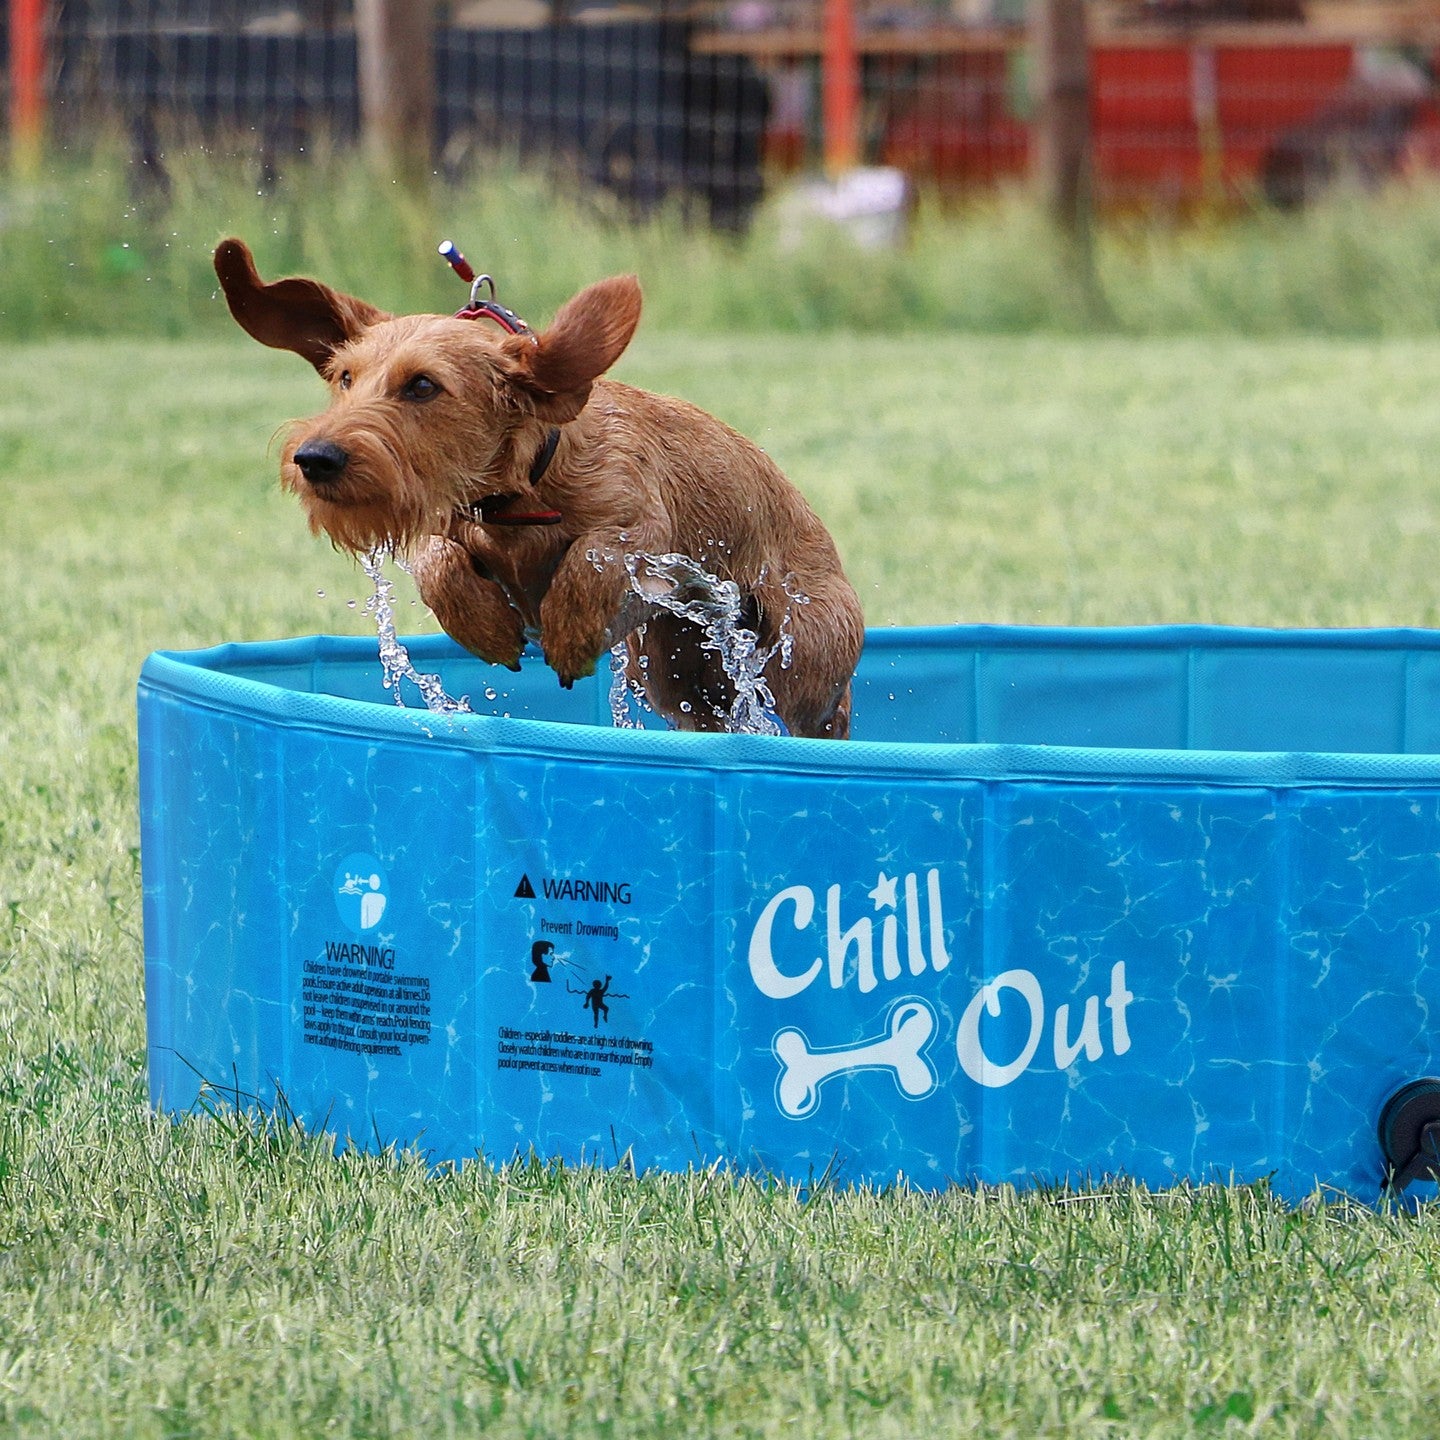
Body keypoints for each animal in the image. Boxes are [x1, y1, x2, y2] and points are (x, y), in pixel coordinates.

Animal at [214, 240, 864, 737]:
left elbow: (592, 556)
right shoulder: (452, 523)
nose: (313, 458)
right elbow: (437, 557)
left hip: (802, 661)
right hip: (676, 673)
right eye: (345, 378)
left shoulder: (643, 531)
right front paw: (486, 626)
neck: (518, 501)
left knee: (821, 717)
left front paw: (570, 635)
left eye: (422, 386)